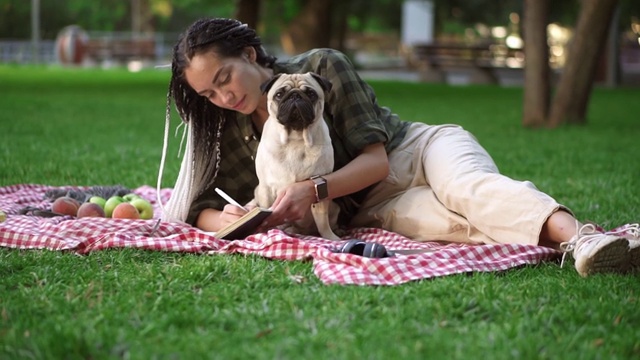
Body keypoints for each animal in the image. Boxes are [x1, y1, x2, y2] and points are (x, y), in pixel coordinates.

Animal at [251, 71, 342, 240]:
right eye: (279, 94)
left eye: (311, 94)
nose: (295, 95)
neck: (296, 138)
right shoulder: (265, 188)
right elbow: (266, 214)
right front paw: (266, 233)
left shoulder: (320, 193)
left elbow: (322, 221)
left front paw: (329, 237)